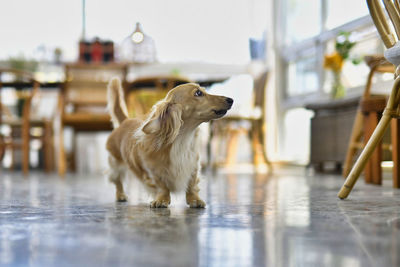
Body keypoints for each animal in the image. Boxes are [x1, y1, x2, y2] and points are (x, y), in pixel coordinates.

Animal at [104, 78, 233, 209]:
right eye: (198, 93)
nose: (231, 100)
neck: (182, 140)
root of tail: (125, 121)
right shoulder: (154, 171)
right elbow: (162, 186)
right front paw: (161, 200)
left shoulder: (193, 166)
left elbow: (191, 185)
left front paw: (195, 199)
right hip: (116, 164)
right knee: (118, 181)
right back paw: (120, 195)